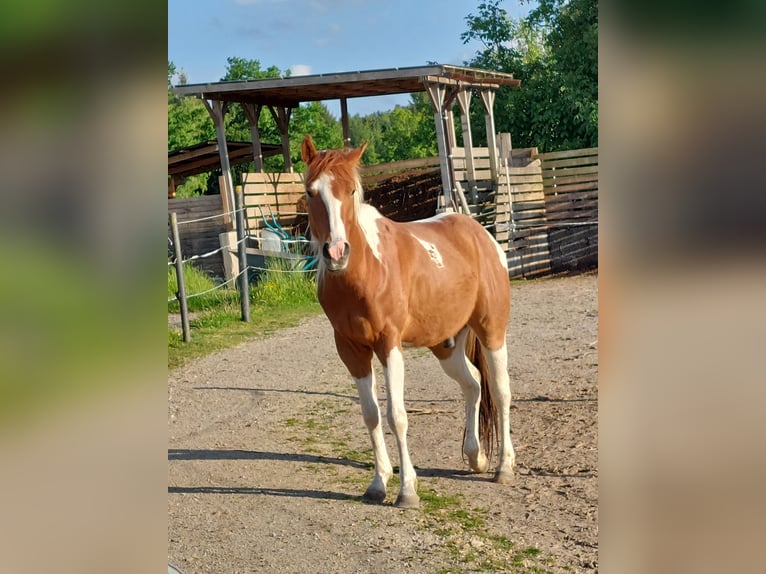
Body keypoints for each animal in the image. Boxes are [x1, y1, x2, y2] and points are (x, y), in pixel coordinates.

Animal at [300, 135, 515, 508]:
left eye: (351, 191)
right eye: (312, 191)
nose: (337, 252)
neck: (365, 272)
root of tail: (480, 235)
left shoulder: (389, 345)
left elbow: (396, 416)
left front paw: (407, 490)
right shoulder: (351, 350)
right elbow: (370, 415)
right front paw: (378, 483)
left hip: (491, 330)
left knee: (501, 391)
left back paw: (504, 467)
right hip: (446, 346)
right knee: (473, 385)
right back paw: (475, 457)